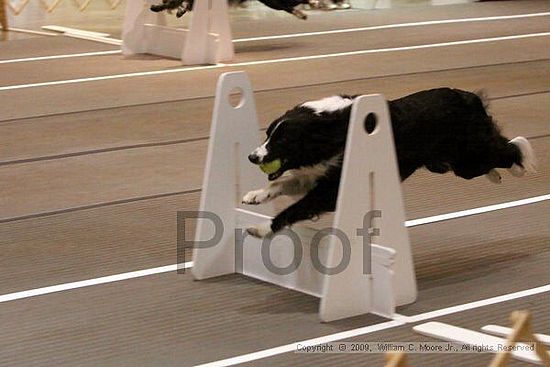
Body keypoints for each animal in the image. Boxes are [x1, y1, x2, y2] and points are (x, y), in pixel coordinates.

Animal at [244, 88, 536, 239]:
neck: (331, 127)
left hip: (469, 156)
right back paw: (497, 175)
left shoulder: (333, 189)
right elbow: (284, 182)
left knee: (508, 148)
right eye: (267, 134)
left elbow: (294, 208)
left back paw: (522, 165)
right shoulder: (318, 174)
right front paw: (256, 195)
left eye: (282, 141)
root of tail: (472, 98)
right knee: (493, 156)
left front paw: (262, 228)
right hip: (456, 163)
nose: (252, 157)